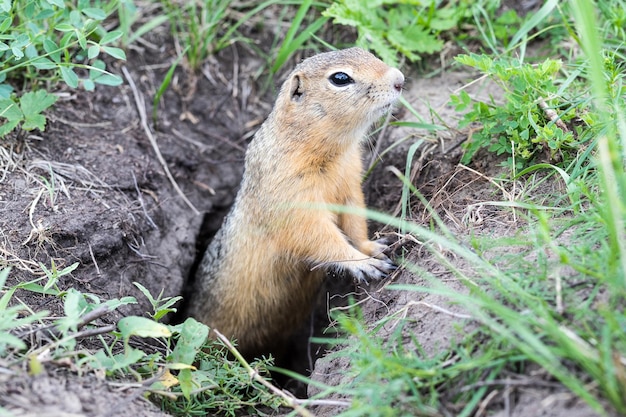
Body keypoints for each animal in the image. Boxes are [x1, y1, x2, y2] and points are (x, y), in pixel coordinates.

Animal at [189, 47, 404, 356]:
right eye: (340, 78)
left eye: (366, 52)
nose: (399, 80)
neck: (331, 153)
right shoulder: (292, 196)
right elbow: (315, 235)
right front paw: (362, 262)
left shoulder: (350, 182)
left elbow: (354, 220)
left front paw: (372, 247)